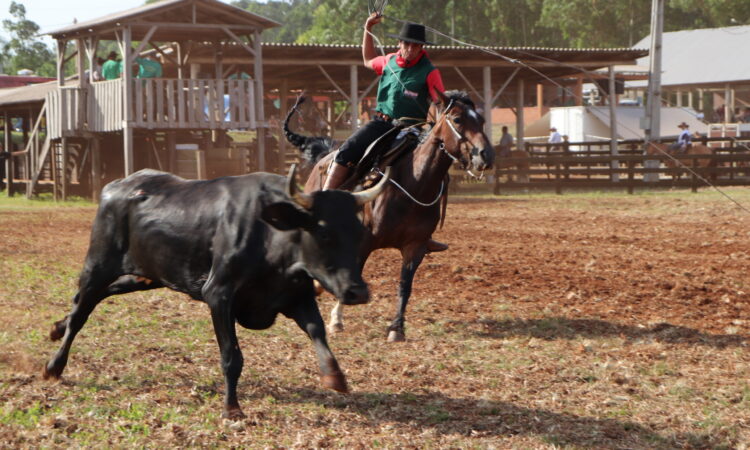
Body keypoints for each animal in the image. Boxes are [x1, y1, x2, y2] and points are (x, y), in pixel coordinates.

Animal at [44, 165, 390, 418]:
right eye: (324, 232)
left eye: (359, 233)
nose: (357, 291)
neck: (268, 235)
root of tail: (116, 186)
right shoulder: (219, 295)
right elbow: (232, 357)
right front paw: (232, 408)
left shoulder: (296, 296)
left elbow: (317, 331)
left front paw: (334, 376)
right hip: (98, 265)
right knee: (83, 308)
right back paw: (54, 365)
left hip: (148, 275)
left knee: (95, 297)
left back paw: (57, 327)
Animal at [302, 91, 496, 342]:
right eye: (457, 119)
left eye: (481, 120)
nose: (486, 155)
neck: (414, 182)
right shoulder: (364, 242)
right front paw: (336, 319)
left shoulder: (416, 246)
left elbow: (405, 285)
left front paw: (397, 328)